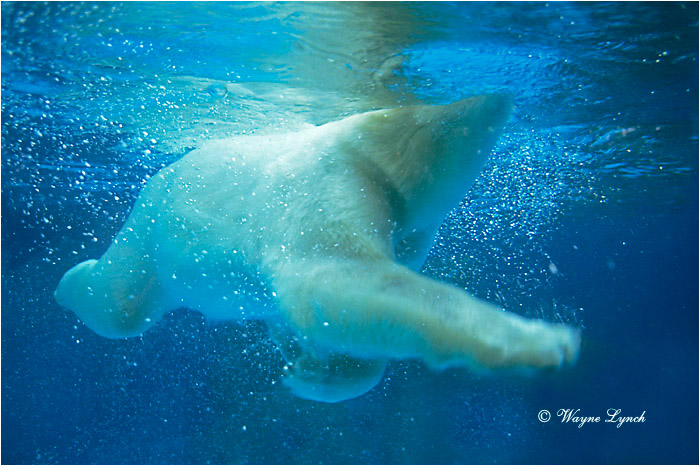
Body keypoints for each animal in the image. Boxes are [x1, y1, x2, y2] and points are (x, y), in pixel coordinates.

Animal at [55, 94, 580, 402]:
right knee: (119, 304)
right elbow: (330, 277)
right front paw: (543, 341)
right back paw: (69, 281)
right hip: (154, 226)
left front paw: (311, 371)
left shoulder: (406, 231)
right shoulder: (330, 179)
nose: (508, 103)